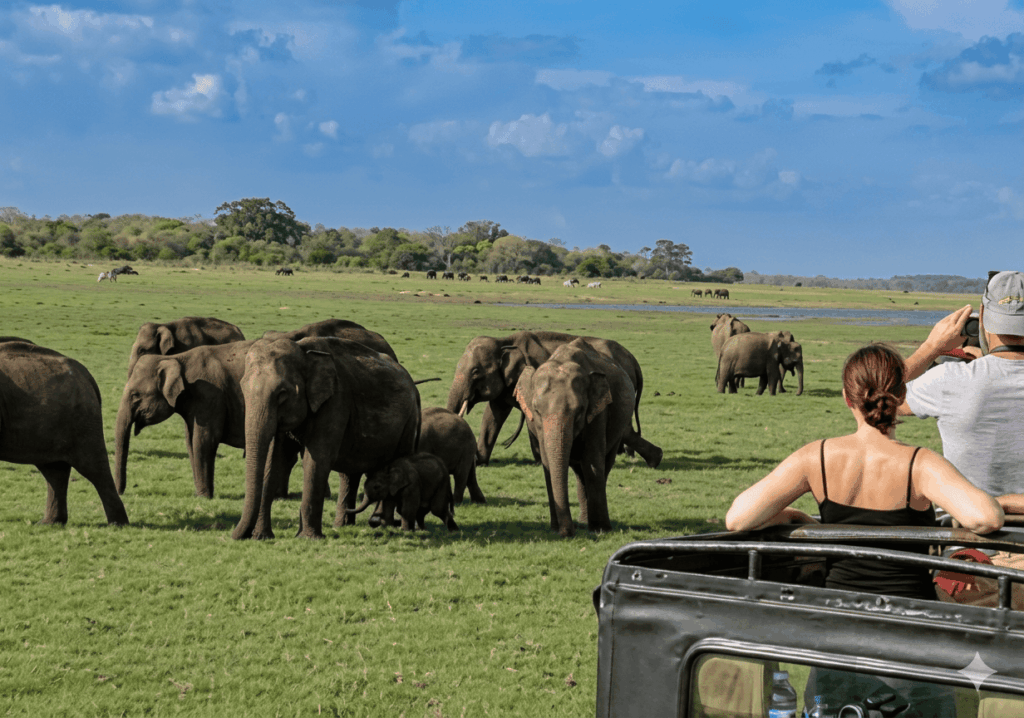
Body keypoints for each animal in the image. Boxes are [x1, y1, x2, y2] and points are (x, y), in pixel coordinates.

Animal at [0, 341, 129, 526]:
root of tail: (86, 374)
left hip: (82, 421)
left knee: (94, 467)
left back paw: (118, 524)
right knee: (54, 470)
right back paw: (49, 523)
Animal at [233, 336, 420, 540]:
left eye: (282, 394)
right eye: (242, 389)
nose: (236, 535)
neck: (304, 351)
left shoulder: (335, 402)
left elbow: (316, 460)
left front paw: (308, 538)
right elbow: (275, 461)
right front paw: (261, 537)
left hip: (409, 423)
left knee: (395, 465)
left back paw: (385, 526)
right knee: (350, 474)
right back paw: (343, 526)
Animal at [446, 330, 661, 468]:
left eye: (475, 371)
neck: (503, 340)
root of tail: (632, 360)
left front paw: (540, 461)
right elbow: (493, 416)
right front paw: (480, 462)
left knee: (625, 428)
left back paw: (651, 459)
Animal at [512, 339, 637, 537]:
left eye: (579, 411)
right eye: (537, 410)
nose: (568, 532)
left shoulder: (598, 413)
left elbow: (593, 462)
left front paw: (601, 530)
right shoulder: (538, 426)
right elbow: (548, 464)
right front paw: (555, 528)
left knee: (603, 464)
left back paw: (591, 523)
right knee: (580, 472)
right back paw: (583, 521)